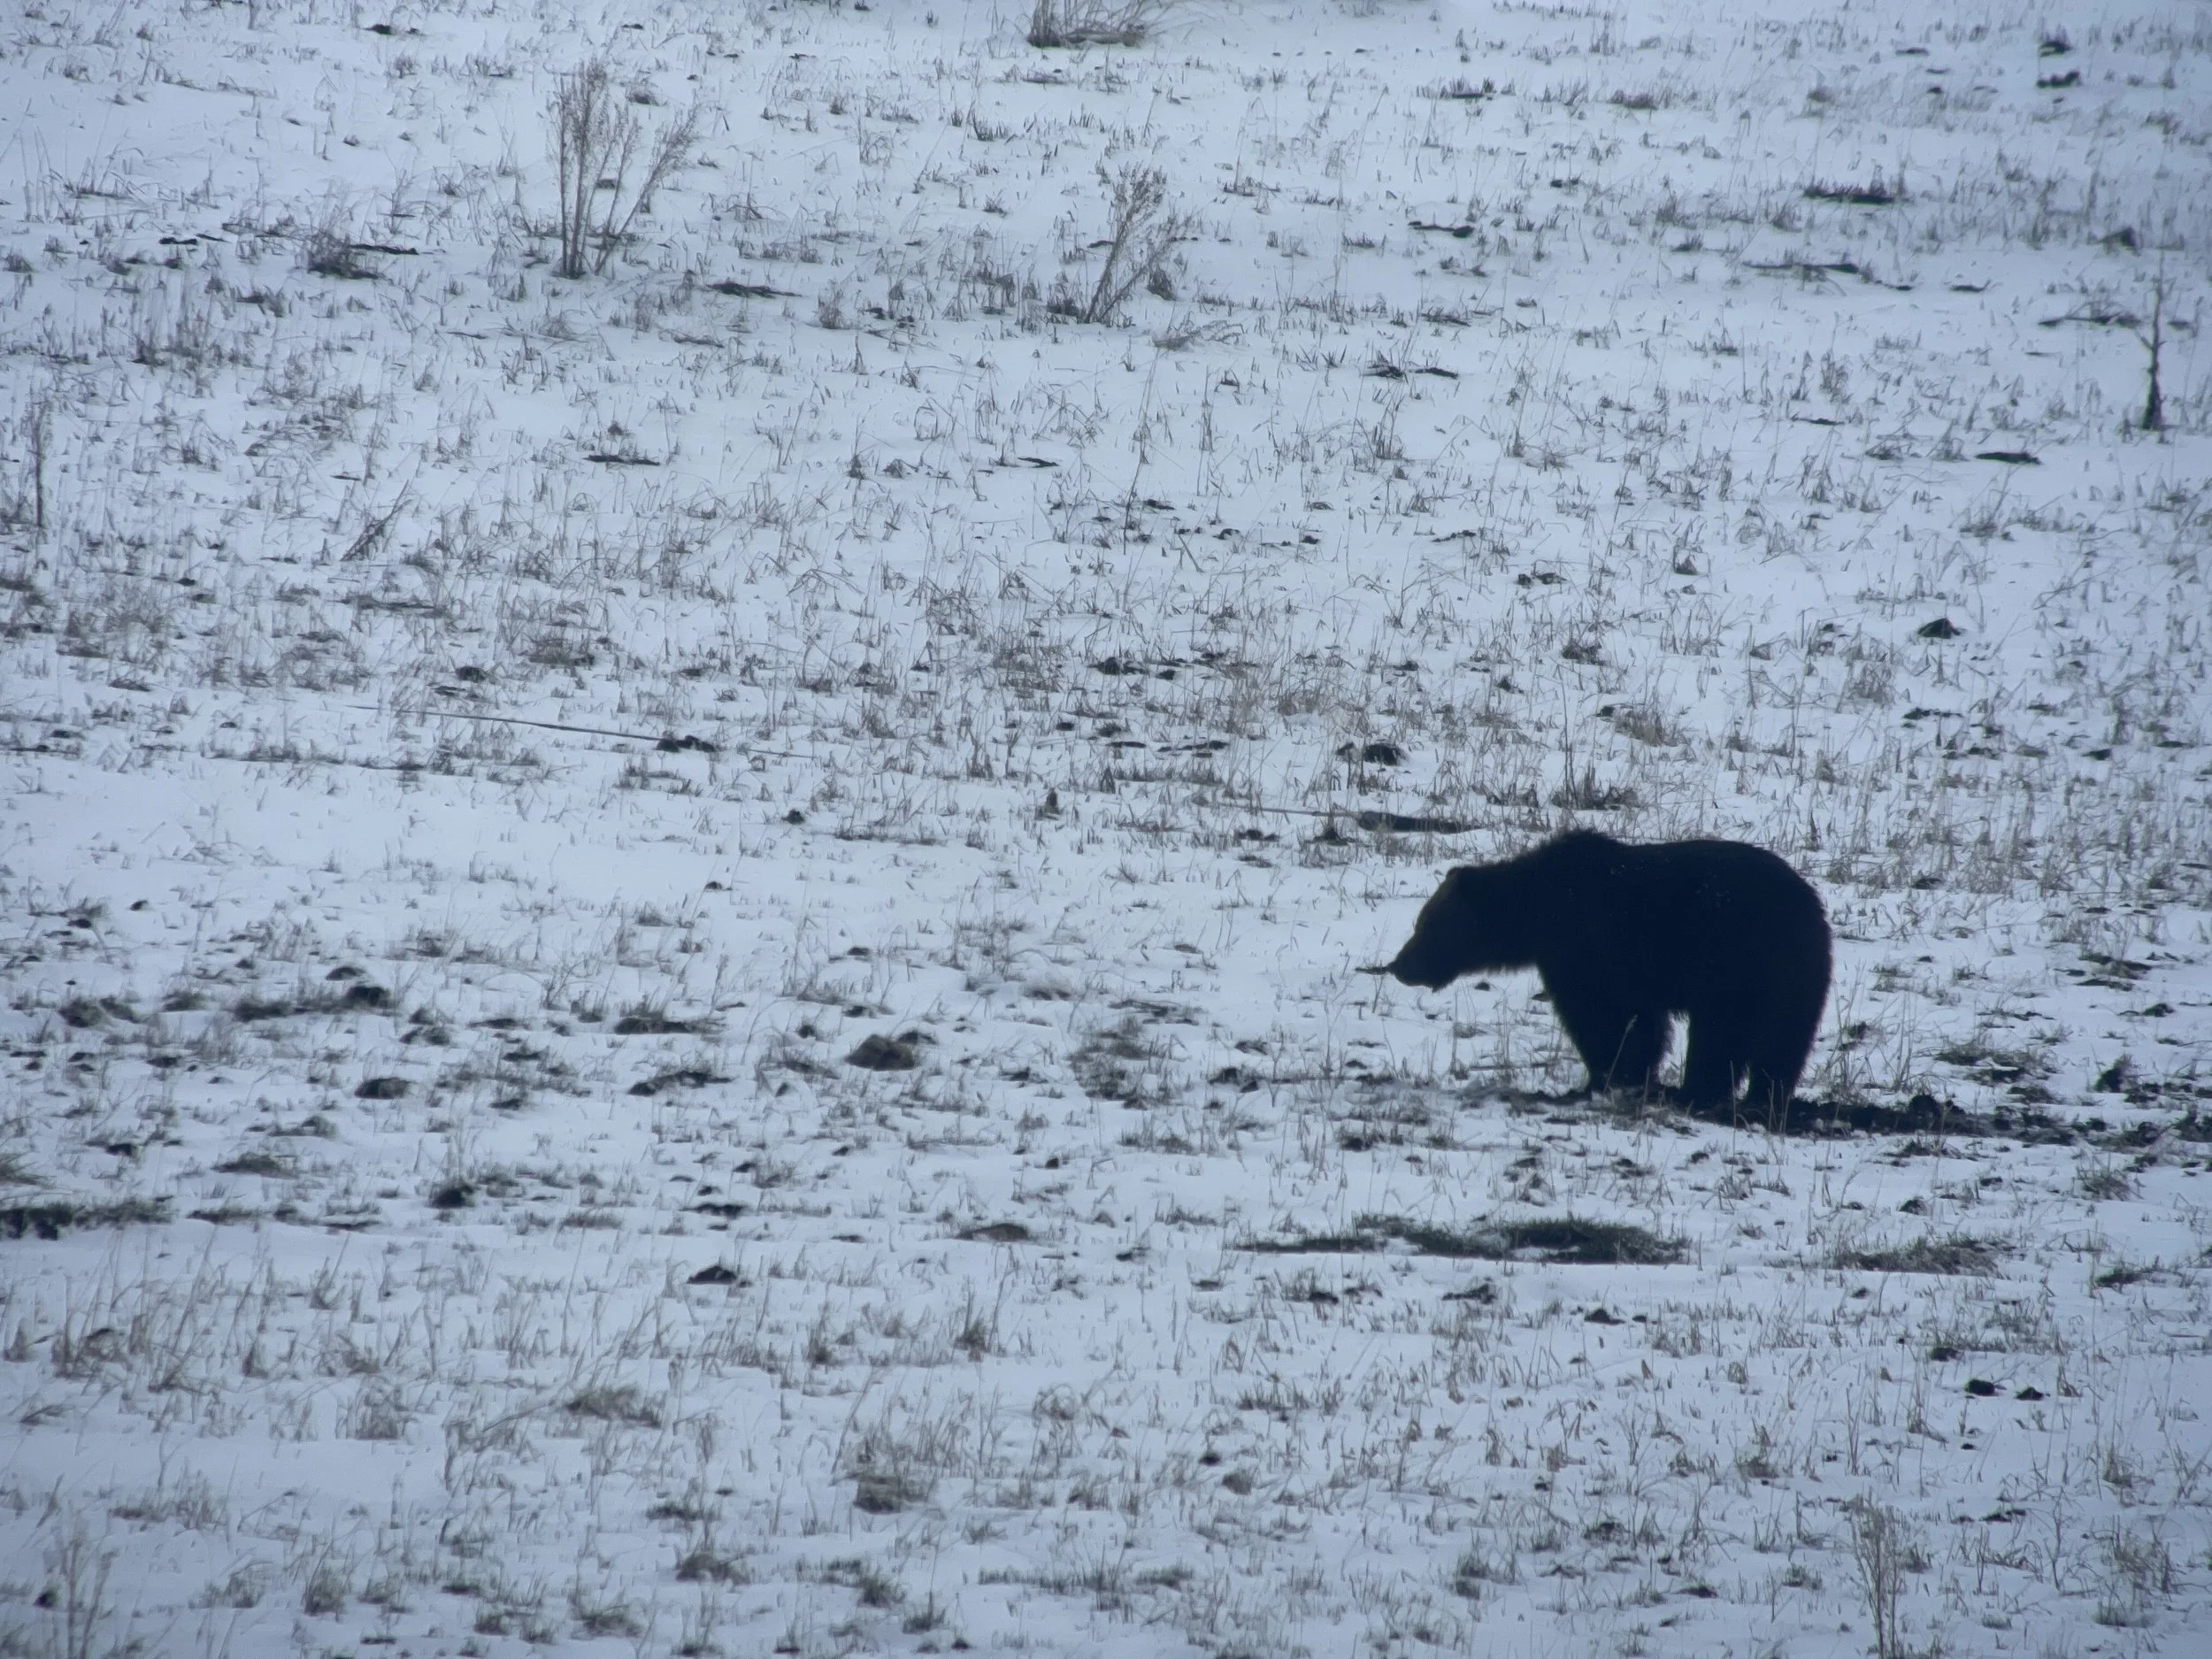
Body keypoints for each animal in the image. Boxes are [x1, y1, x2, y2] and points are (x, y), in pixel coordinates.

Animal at [1383, 830, 1830, 1112]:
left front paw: (1606, 1077)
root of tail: (1813, 908)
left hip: (1739, 963)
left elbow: (1604, 1018)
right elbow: (1640, 1023)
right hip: (1794, 980)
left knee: (1721, 1035)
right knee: (1784, 1043)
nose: (1399, 965)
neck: (1536, 913)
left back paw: (1696, 1091)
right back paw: (1763, 1097)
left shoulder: (1589, 947)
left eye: (1425, 926)